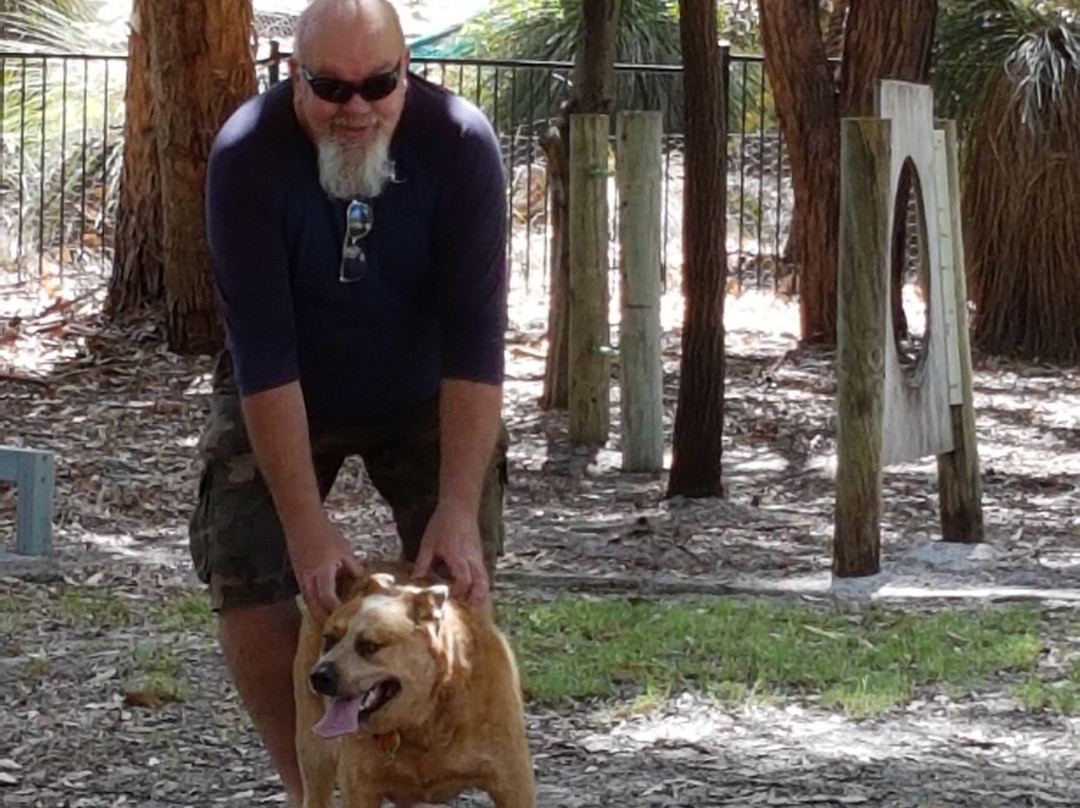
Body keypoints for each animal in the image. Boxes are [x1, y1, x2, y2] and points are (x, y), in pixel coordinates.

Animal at [293, 561, 537, 808]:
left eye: (369, 646)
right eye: (328, 640)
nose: (319, 676)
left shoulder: (514, 784)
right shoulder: (359, 786)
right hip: (314, 753)